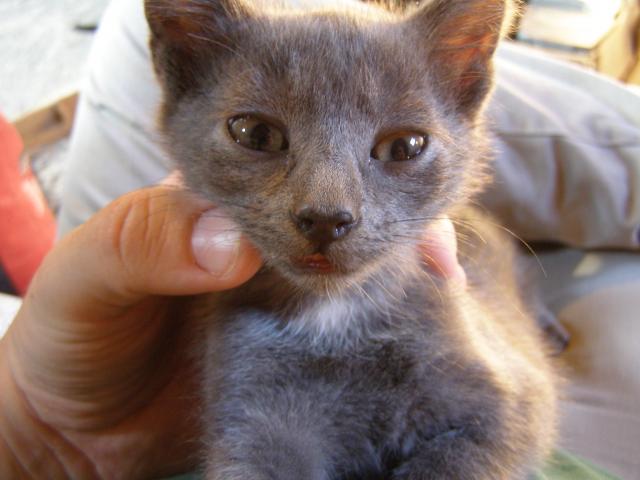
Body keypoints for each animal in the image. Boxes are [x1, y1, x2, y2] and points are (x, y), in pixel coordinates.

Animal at [144, 1, 556, 478]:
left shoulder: (508, 402)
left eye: (405, 146)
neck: (336, 317)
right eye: (254, 133)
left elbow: (458, 458)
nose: (325, 218)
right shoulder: (251, 408)